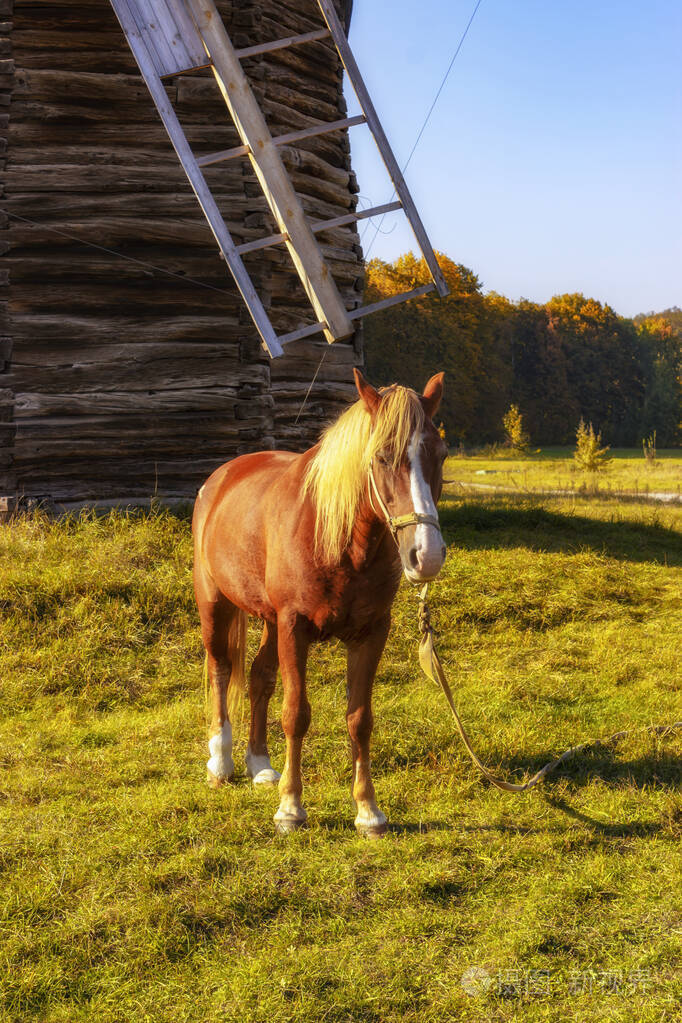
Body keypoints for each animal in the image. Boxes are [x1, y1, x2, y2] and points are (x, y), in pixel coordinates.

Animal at [192, 369, 448, 836]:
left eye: (440, 453)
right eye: (382, 456)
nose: (427, 554)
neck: (336, 539)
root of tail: (220, 478)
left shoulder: (371, 632)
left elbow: (359, 719)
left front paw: (368, 811)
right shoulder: (295, 627)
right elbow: (296, 714)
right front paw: (291, 808)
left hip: (269, 620)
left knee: (258, 677)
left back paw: (260, 764)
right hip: (216, 605)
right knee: (220, 670)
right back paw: (221, 762)